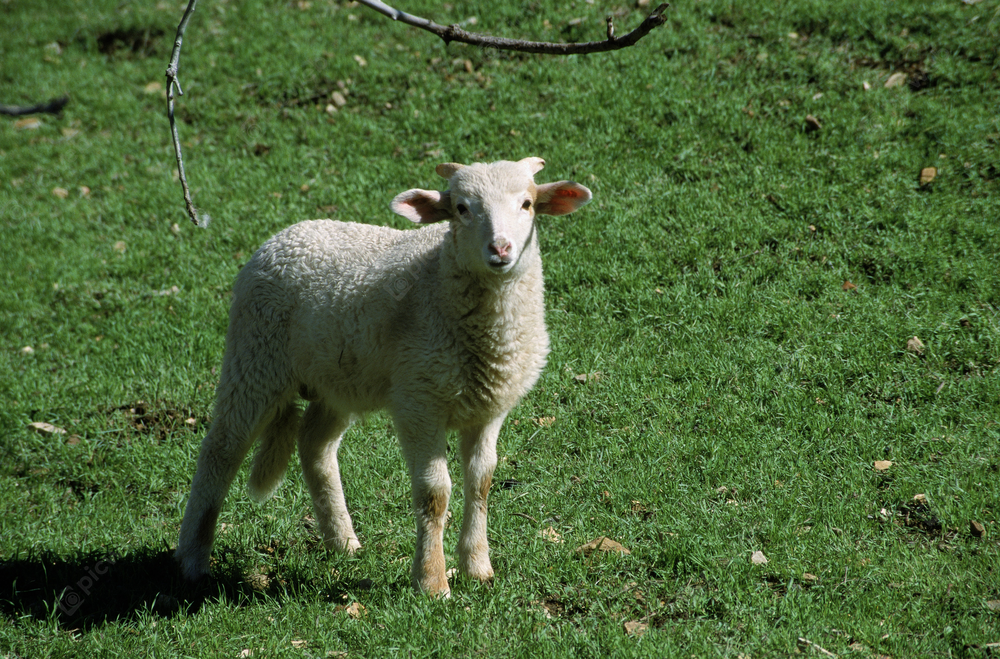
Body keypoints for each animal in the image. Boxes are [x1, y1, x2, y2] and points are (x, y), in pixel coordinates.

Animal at [174, 157, 592, 596]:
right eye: (461, 208)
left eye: (527, 204)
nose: (501, 248)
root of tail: (285, 234)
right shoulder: (418, 400)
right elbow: (434, 493)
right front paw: (432, 581)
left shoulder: (489, 407)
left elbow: (481, 481)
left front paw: (478, 567)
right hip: (254, 356)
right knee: (221, 450)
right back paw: (193, 559)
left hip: (336, 379)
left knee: (315, 445)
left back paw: (343, 542)